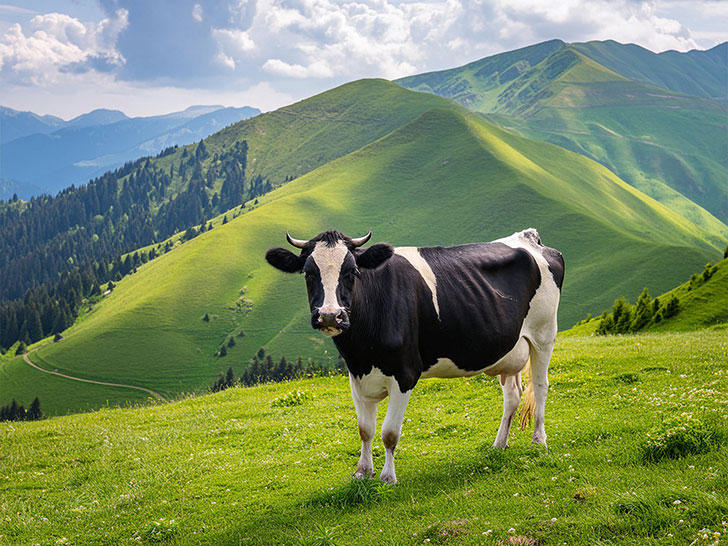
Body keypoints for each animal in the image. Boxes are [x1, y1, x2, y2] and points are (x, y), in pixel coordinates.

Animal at [264, 227, 564, 482]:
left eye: (352, 271)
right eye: (308, 273)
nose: (329, 315)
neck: (362, 351)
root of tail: (528, 237)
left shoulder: (404, 373)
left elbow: (388, 433)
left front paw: (387, 477)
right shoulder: (356, 376)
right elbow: (365, 429)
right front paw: (362, 472)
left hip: (544, 334)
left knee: (540, 386)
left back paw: (539, 440)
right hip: (509, 351)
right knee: (512, 396)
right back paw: (499, 444)